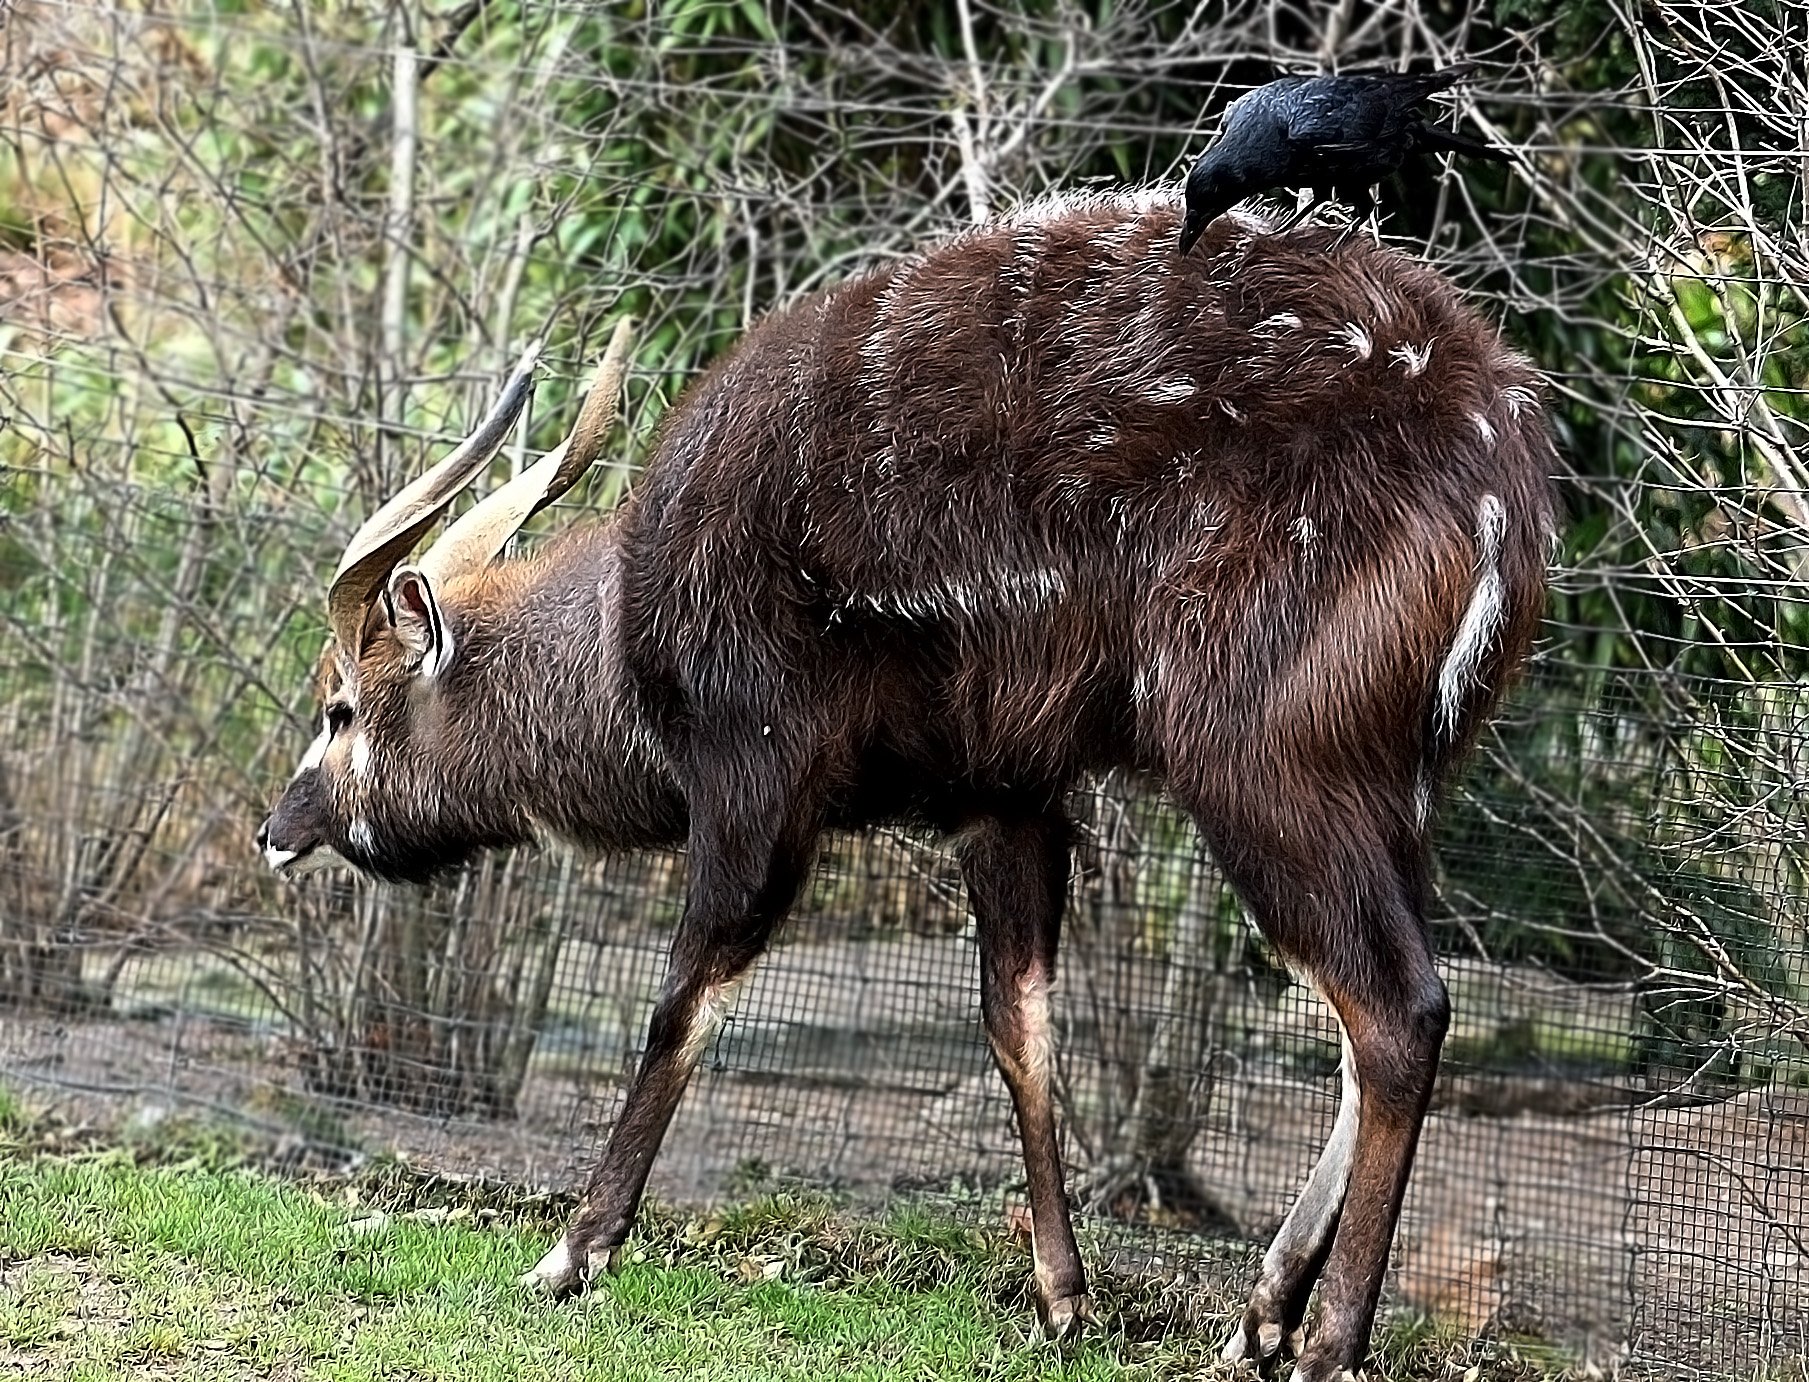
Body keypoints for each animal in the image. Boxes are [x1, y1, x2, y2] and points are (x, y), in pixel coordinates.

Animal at [255, 191, 1555, 1382]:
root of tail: (1505, 462)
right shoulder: (1007, 796)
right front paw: (1063, 1299)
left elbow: (686, 1001)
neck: (633, 623)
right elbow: (1020, 1026)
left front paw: (573, 1252)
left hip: (1258, 767)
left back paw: (1326, 1341)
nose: (276, 829)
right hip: (1389, 794)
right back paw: (1259, 1313)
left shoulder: (758, 782)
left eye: (339, 705)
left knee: (1398, 1008)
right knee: (1363, 1019)